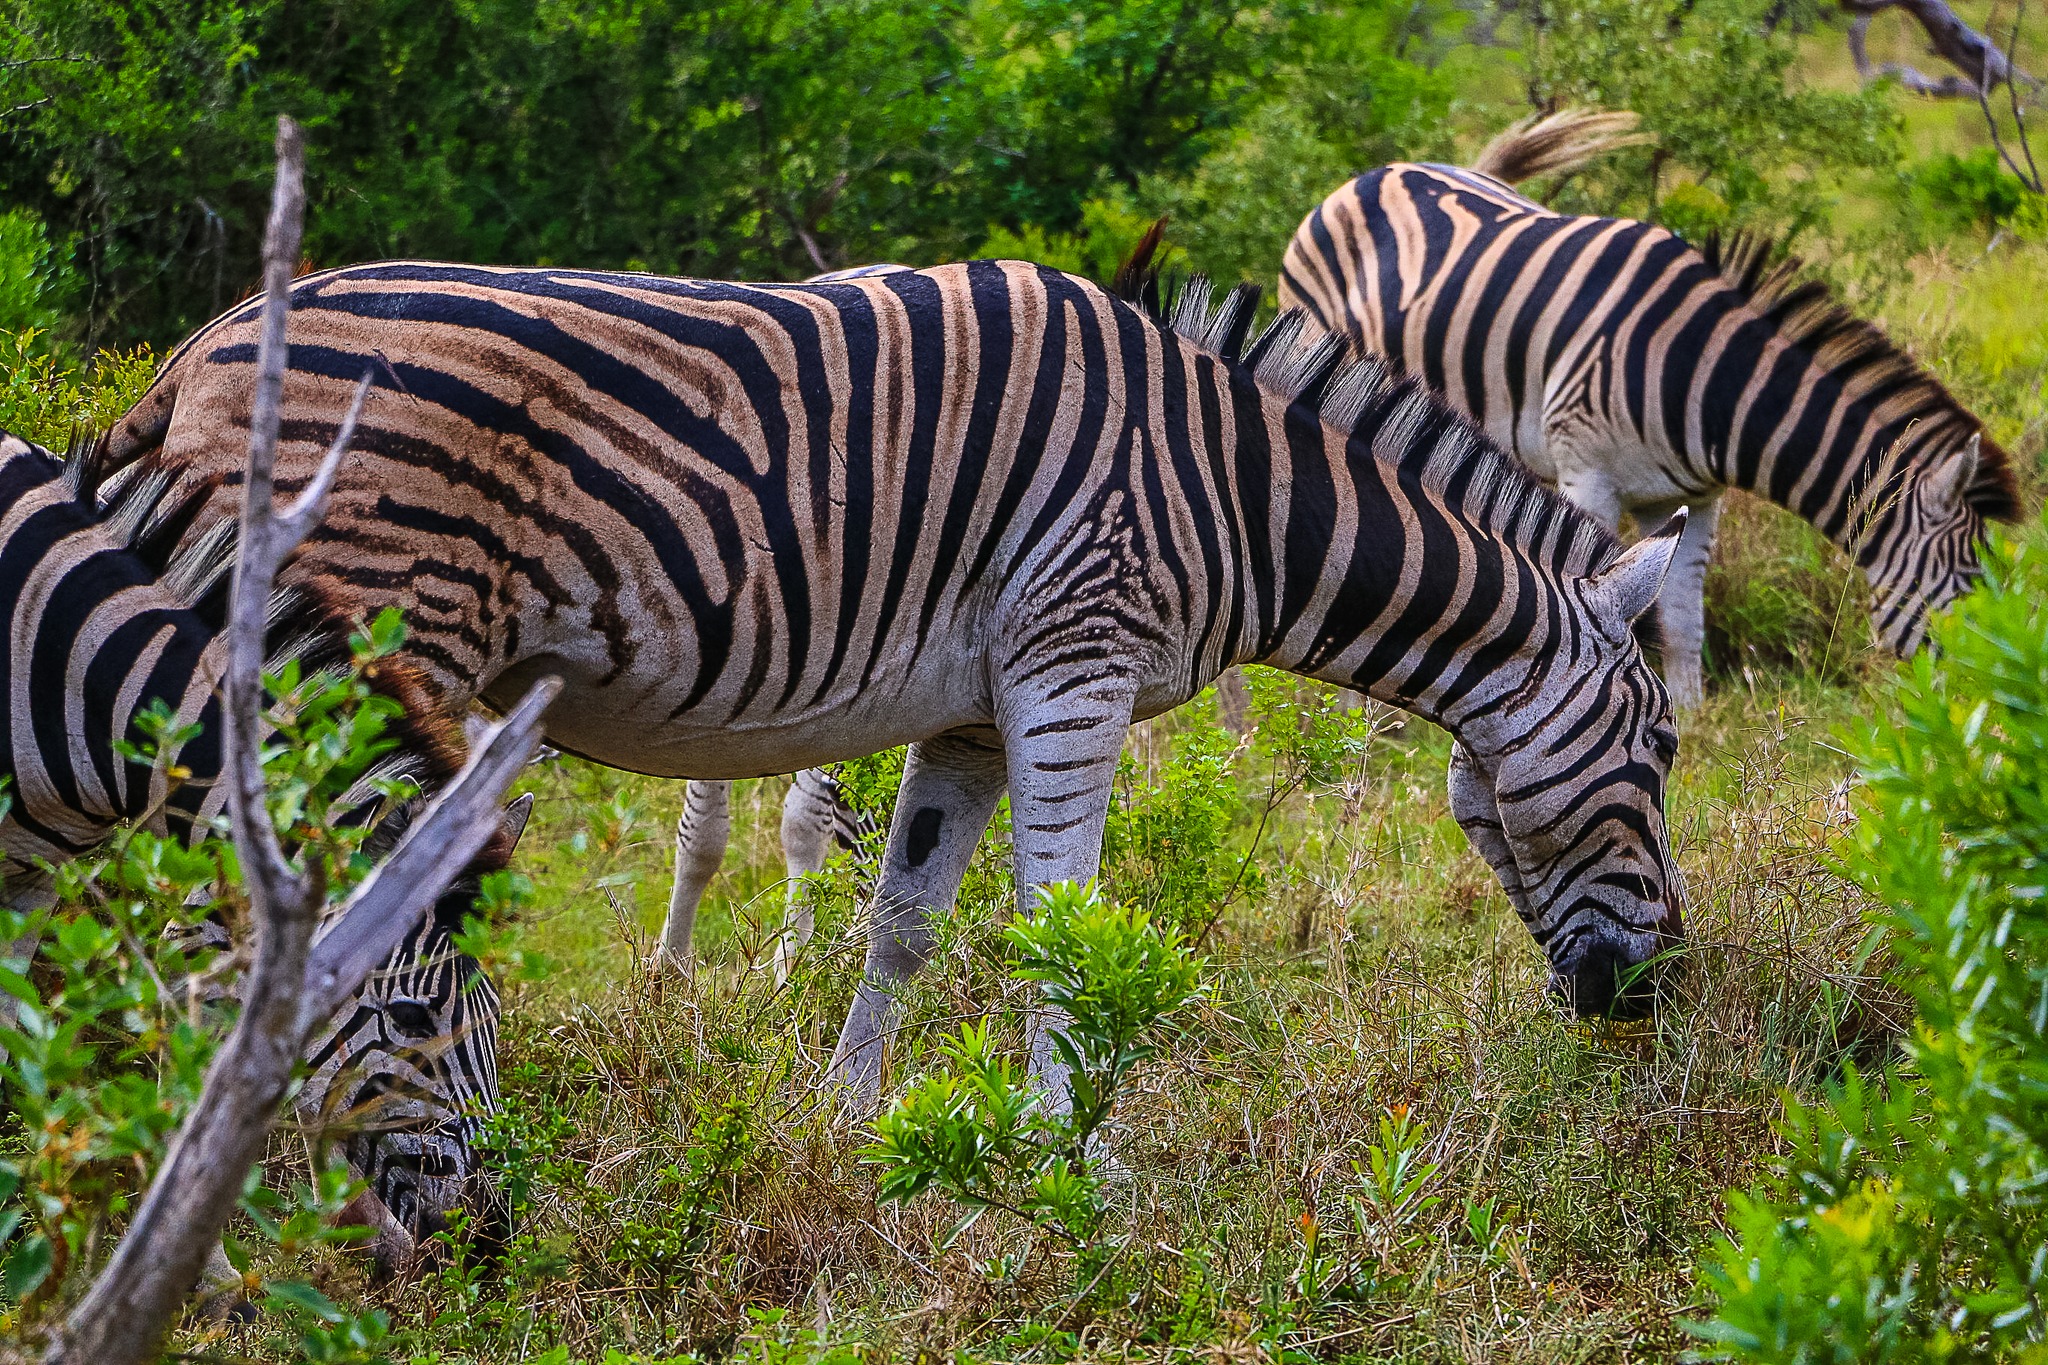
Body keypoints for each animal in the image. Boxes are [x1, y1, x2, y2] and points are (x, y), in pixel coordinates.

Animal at [18, 250, 1684, 1124]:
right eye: (1661, 754)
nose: (1651, 1000)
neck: (1237, 488)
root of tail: (200, 351)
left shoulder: (972, 711)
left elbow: (907, 921)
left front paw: (845, 1114)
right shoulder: (1074, 668)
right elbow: (1058, 926)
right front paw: (1068, 1155)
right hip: (339, 666)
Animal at [1277, 109, 2022, 706]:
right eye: (1968, 584)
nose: (1987, 697)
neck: (1708, 382)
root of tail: (1378, 172)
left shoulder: (1693, 497)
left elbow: (1683, 619)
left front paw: (1696, 726)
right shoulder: (1586, 474)